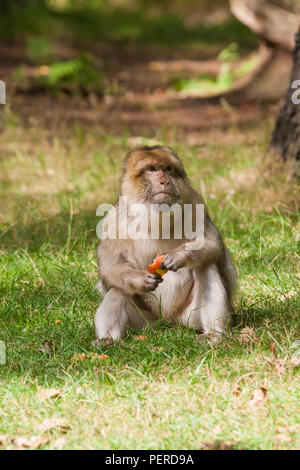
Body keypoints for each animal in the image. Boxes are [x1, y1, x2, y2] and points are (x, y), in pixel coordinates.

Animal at [94, 147, 237, 346]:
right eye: (152, 169)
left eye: (168, 169)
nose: (165, 181)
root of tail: (168, 321)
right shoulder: (112, 222)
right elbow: (110, 268)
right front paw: (140, 279)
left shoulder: (195, 203)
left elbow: (212, 243)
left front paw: (177, 257)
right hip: (145, 322)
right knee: (118, 289)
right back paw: (108, 339)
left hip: (188, 317)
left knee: (205, 266)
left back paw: (214, 335)